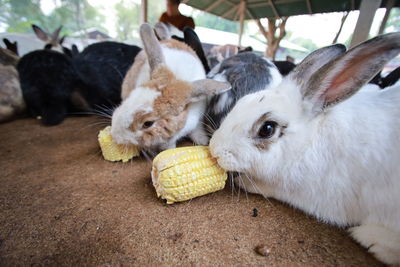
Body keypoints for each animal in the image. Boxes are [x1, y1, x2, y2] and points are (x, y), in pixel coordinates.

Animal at [209, 33, 400, 266]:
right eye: (243, 101)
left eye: (267, 129)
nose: (214, 149)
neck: (309, 141)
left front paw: (244, 181)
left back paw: (372, 240)